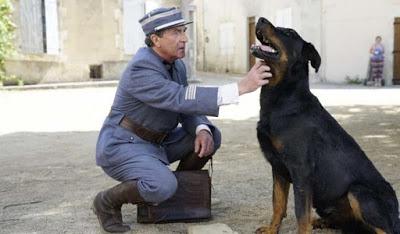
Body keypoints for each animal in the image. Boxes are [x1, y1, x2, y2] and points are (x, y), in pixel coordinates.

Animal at [252, 17, 398, 234]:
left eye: (289, 33)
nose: (260, 19)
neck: (283, 99)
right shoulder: (278, 168)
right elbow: (277, 203)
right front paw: (271, 229)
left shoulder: (301, 170)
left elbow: (301, 215)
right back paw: (321, 222)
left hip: (359, 191)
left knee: (385, 229)